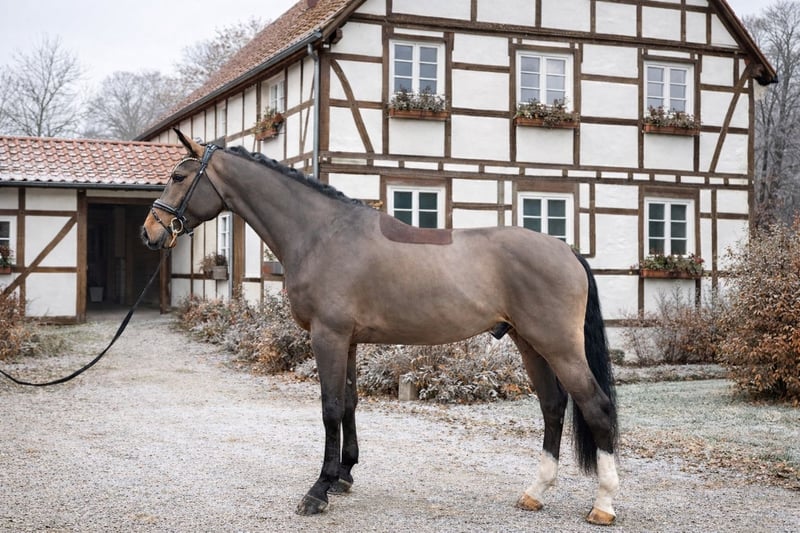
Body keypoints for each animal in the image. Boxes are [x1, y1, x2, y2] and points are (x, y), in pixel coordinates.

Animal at [141, 130, 619, 525]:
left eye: (178, 175)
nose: (150, 233)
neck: (321, 234)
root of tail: (566, 250)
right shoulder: (348, 341)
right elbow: (350, 403)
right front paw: (343, 475)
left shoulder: (328, 336)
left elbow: (331, 408)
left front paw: (318, 491)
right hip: (530, 343)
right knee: (553, 407)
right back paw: (535, 492)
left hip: (557, 345)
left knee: (595, 406)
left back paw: (603, 505)